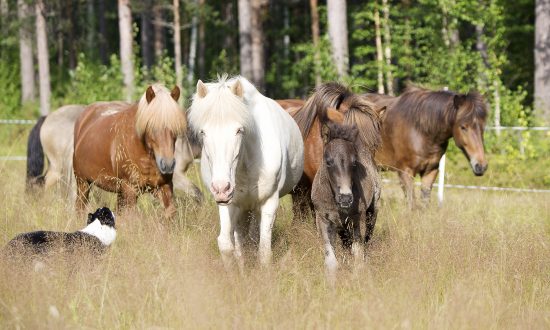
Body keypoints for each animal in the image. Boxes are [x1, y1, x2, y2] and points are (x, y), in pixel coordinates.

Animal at [73, 84, 187, 218]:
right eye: (151, 126)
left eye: (175, 128)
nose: (168, 165)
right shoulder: (131, 189)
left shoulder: (164, 186)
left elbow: (170, 212)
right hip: (83, 183)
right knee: (80, 207)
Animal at [190, 75, 306, 268]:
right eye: (203, 132)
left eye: (239, 130)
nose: (221, 188)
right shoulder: (229, 203)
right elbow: (227, 245)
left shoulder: (269, 202)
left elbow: (264, 252)